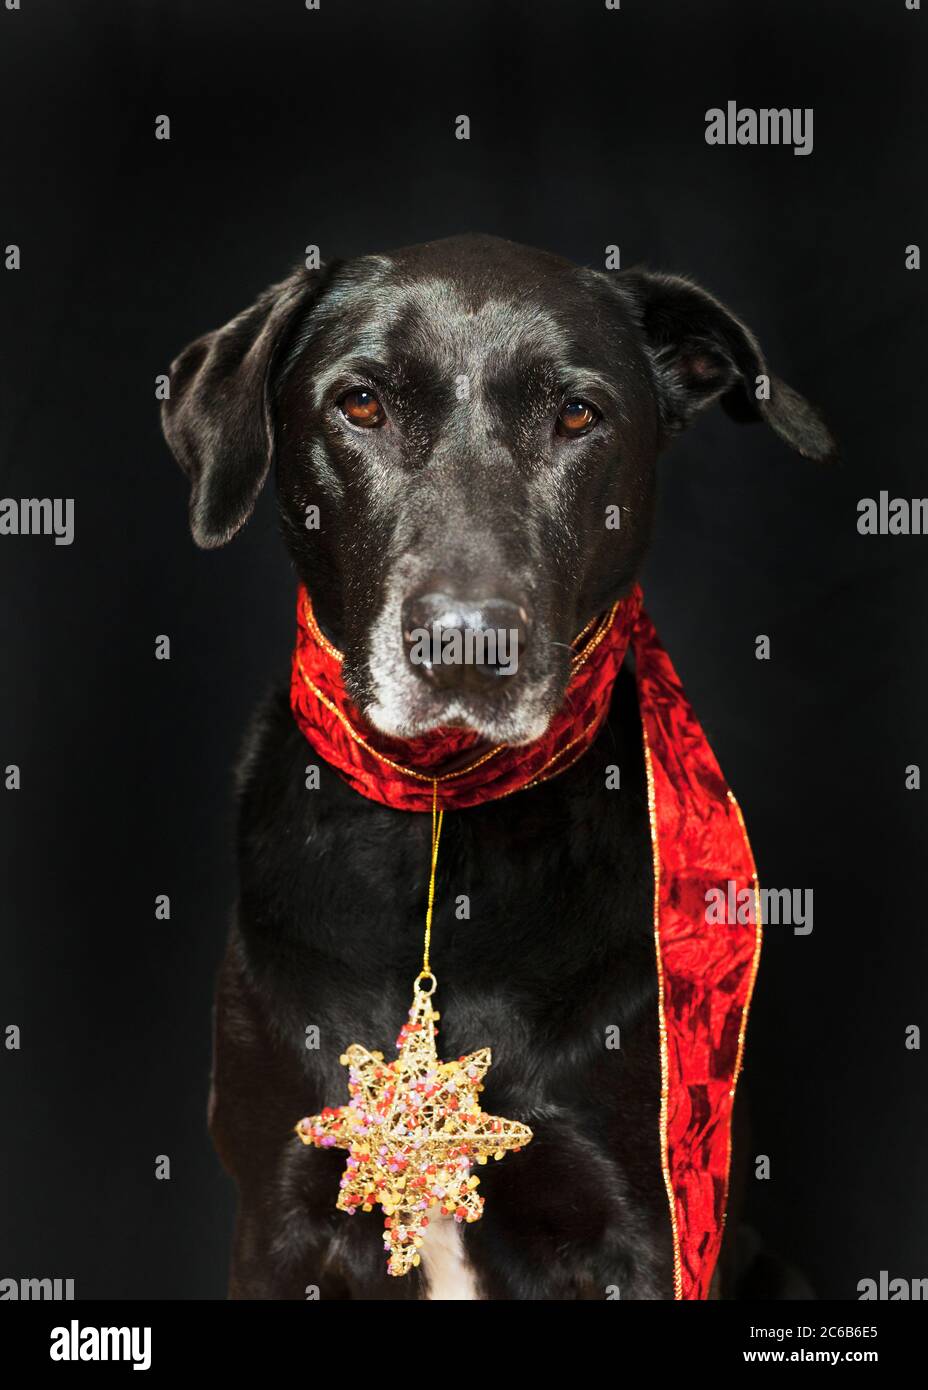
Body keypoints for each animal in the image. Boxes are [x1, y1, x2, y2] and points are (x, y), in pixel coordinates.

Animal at [161, 233, 833, 1295]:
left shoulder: (645, 1223)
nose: (467, 642)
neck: (446, 825)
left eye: (578, 414)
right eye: (362, 404)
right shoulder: (279, 1213)